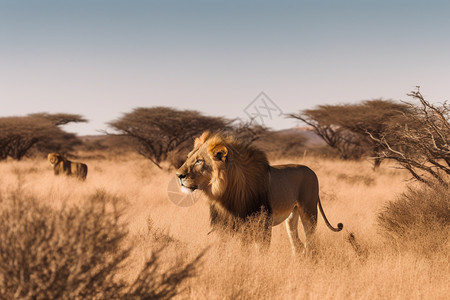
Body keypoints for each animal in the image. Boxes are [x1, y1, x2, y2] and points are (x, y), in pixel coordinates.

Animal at [176, 131, 342, 253]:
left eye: (199, 161)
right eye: (188, 157)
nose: (178, 175)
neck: (224, 195)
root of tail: (312, 171)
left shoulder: (262, 224)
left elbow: (258, 251)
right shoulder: (225, 226)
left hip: (309, 211)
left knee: (309, 241)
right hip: (291, 218)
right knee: (297, 244)